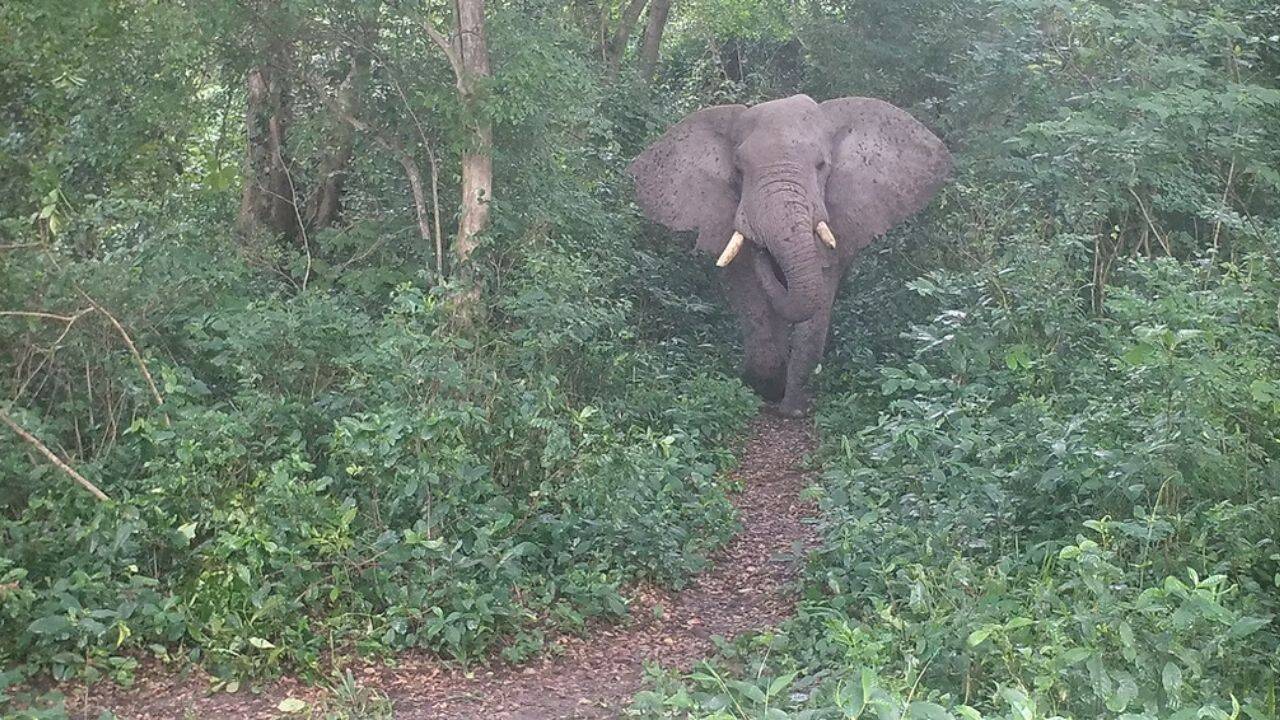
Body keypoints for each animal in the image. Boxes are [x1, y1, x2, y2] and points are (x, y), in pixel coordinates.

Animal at [628, 94, 951, 416]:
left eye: (821, 165)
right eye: (739, 171)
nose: (762, 249)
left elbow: (817, 299)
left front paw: (793, 408)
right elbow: (750, 295)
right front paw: (768, 386)